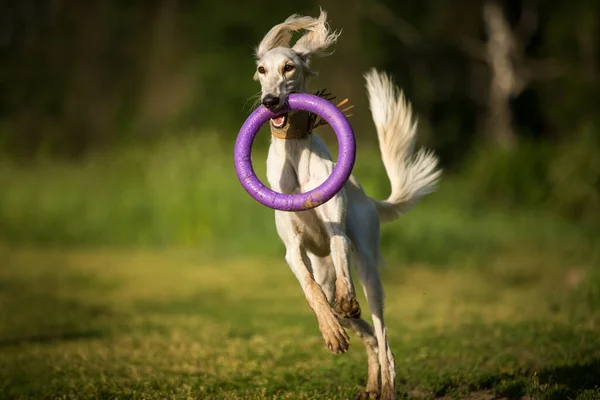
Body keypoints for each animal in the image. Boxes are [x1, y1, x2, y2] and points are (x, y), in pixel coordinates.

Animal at [252, 7, 440, 400]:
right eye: (262, 70)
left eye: (289, 67)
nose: (270, 102)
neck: (295, 156)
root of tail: (369, 198)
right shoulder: (293, 250)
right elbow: (310, 292)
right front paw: (330, 333)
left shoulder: (337, 232)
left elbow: (343, 270)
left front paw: (344, 299)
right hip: (323, 270)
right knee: (366, 333)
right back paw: (369, 380)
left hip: (370, 272)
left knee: (382, 336)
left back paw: (387, 385)